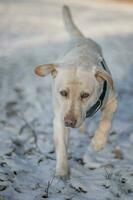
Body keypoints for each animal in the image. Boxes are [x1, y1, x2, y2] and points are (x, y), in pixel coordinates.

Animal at [34, 5, 117, 179]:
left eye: (85, 95)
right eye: (63, 93)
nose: (70, 122)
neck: (81, 58)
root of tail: (80, 38)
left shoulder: (113, 101)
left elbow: (106, 123)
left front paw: (98, 143)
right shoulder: (59, 119)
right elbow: (61, 146)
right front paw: (62, 171)